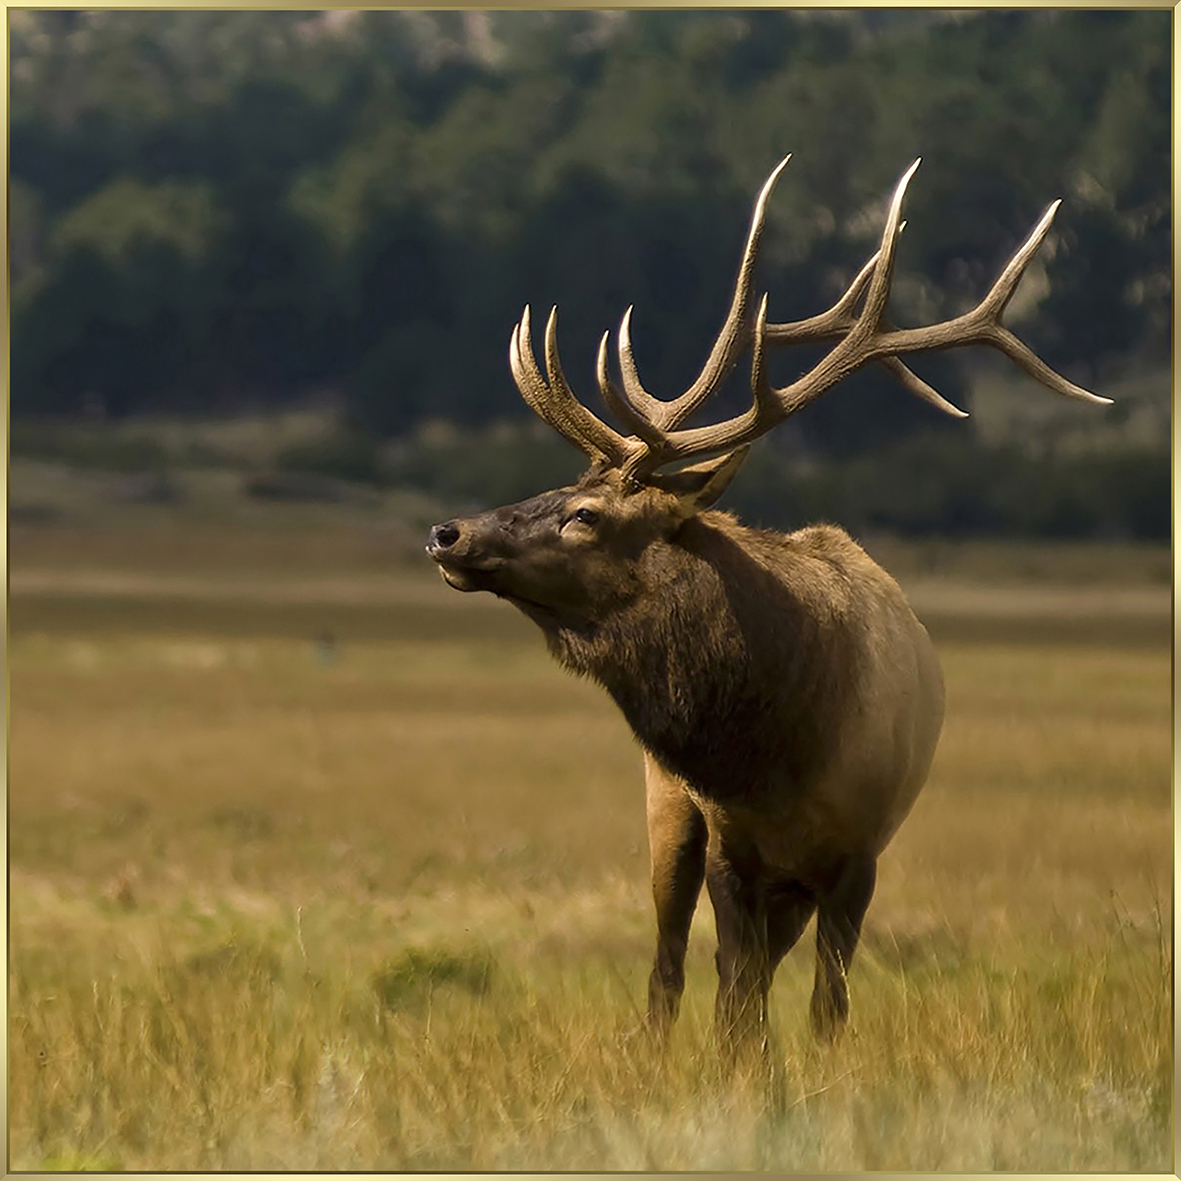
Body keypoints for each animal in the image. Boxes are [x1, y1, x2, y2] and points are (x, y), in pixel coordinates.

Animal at [425, 154, 1105, 1053]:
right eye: (560, 487)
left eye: (585, 513)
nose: (447, 532)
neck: (776, 749)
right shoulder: (728, 843)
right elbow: (733, 999)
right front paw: (735, 1068)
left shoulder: (858, 853)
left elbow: (823, 1007)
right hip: (667, 811)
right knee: (669, 967)